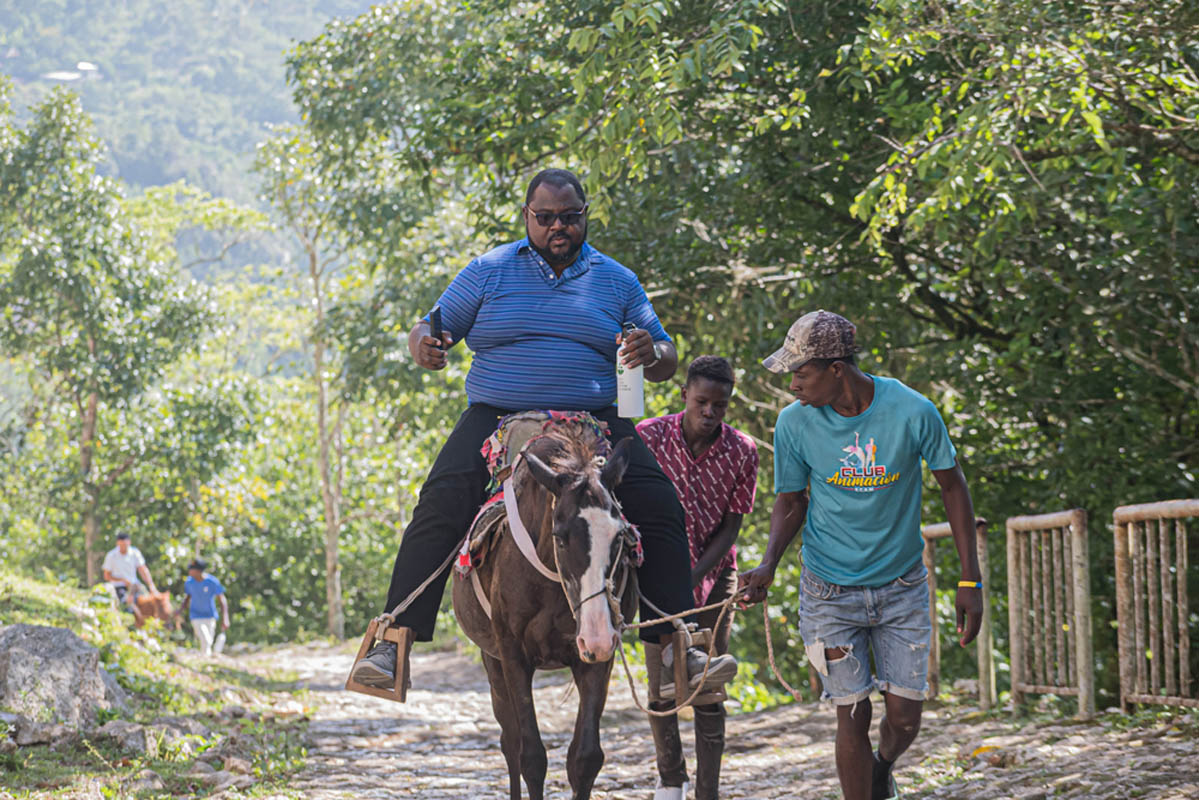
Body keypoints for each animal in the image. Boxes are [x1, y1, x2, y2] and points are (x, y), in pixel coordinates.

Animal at [452, 415, 639, 800]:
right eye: (561, 537)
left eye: (619, 536)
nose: (596, 635)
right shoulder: (512, 656)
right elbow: (531, 757)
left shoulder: (598, 660)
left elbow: (585, 758)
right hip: (491, 660)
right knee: (509, 742)